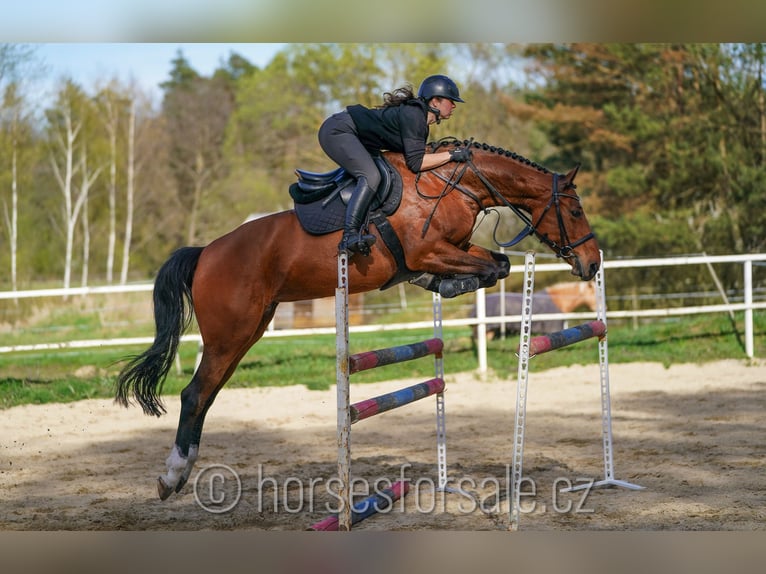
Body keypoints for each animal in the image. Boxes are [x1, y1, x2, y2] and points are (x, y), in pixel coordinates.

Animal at [117, 137, 604, 502]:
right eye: (575, 210)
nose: (593, 263)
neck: (452, 182)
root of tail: (205, 253)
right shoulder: (429, 250)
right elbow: (490, 267)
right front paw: (447, 284)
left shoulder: (455, 249)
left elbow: (497, 264)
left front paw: (442, 284)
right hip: (229, 333)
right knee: (194, 394)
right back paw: (172, 476)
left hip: (247, 332)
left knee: (208, 394)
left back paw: (181, 473)